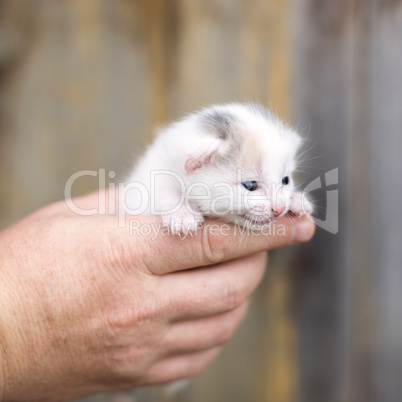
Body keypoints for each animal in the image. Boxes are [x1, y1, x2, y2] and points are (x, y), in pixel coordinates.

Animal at [120, 103, 314, 232]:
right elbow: (162, 192)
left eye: (285, 180)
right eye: (250, 185)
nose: (280, 209)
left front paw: (297, 199)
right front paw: (182, 213)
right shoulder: (138, 194)